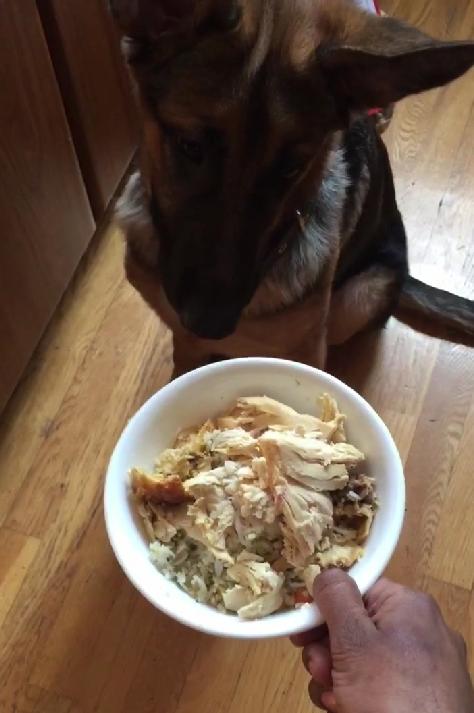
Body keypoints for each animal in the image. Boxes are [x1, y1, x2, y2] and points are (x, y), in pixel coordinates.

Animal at [110, 0, 474, 376]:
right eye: (190, 146)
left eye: (291, 169)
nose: (210, 325)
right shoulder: (186, 346)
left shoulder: (305, 349)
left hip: (359, 296)